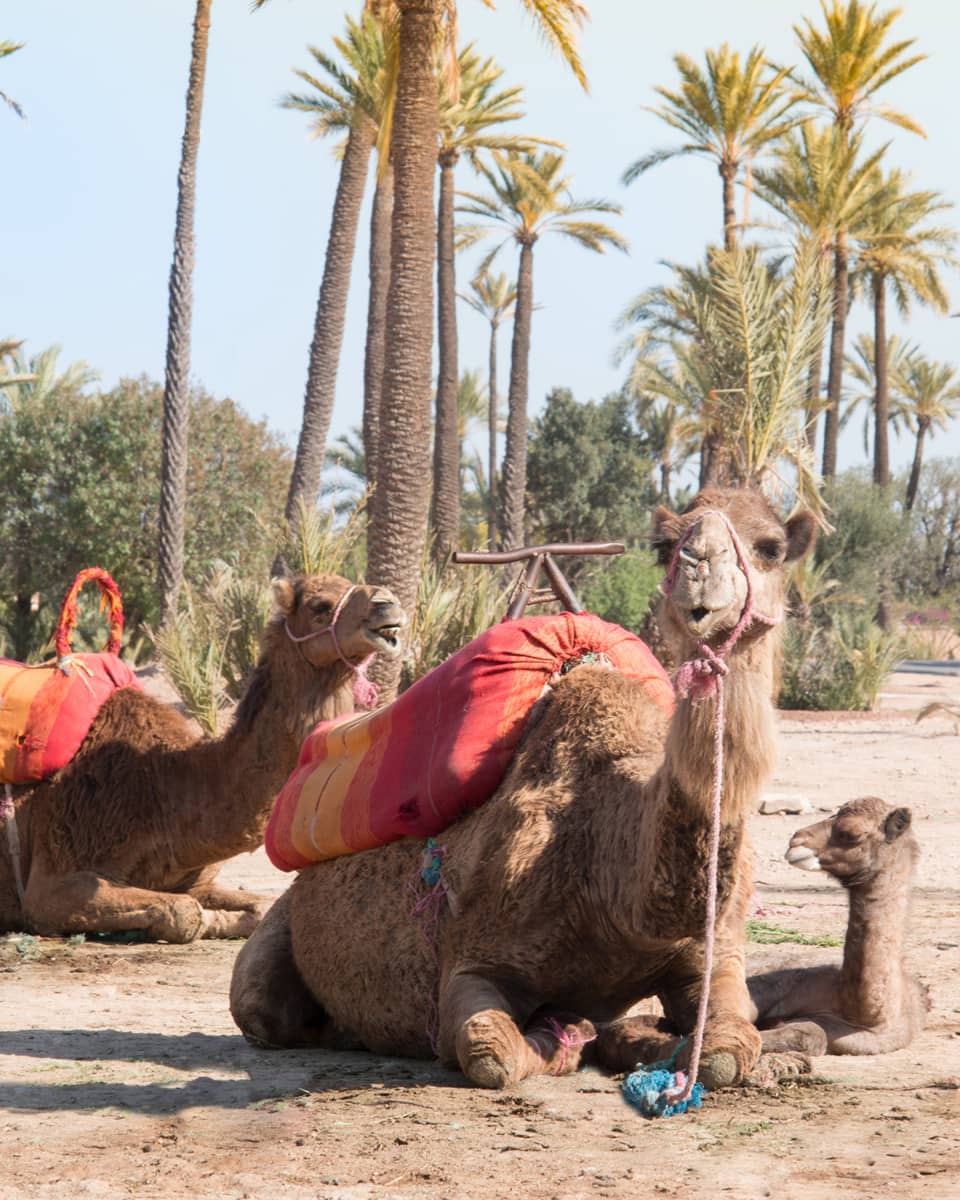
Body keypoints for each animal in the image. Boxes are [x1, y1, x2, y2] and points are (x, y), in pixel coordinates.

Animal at [0, 575, 405, 942]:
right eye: (319, 606)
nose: (389, 605)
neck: (165, 788)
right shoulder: (53, 880)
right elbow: (185, 913)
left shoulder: (194, 877)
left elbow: (257, 908)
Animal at [230, 487, 817, 1090]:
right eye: (666, 545)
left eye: (772, 547)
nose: (700, 568)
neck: (614, 876)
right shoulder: (474, 961)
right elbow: (490, 1052)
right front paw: (565, 1034)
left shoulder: (710, 958)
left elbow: (728, 1046)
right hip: (274, 941)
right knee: (263, 1005)